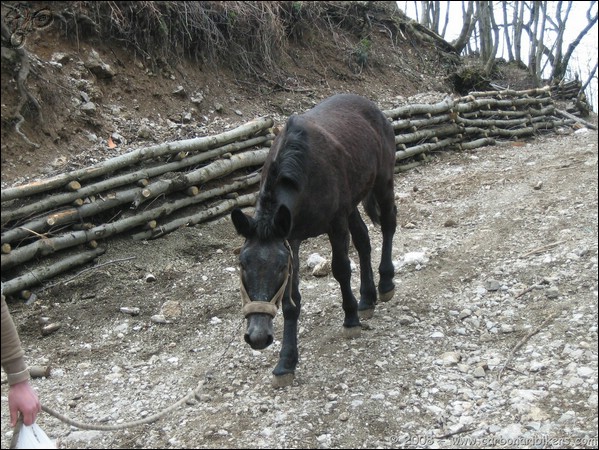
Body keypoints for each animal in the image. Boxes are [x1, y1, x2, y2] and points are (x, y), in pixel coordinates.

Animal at [232, 94, 396, 386]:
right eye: (243, 265)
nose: (258, 337)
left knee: (388, 226)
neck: (302, 172)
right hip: (352, 203)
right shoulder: (291, 238)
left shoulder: (335, 224)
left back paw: (385, 283)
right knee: (364, 240)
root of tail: (373, 108)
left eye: (279, 267)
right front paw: (286, 362)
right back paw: (367, 299)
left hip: (382, 183)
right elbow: (291, 301)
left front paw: (350, 319)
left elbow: (341, 269)